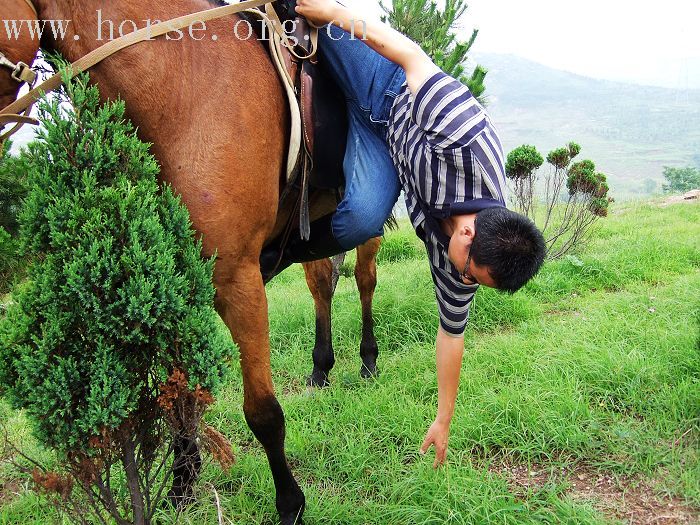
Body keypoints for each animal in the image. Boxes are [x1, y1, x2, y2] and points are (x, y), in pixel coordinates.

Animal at [1, 1, 318, 520]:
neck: (182, 89)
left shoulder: (238, 279)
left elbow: (263, 412)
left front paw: (290, 504)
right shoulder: (171, 286)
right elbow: (179, 400)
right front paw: (181, 488)